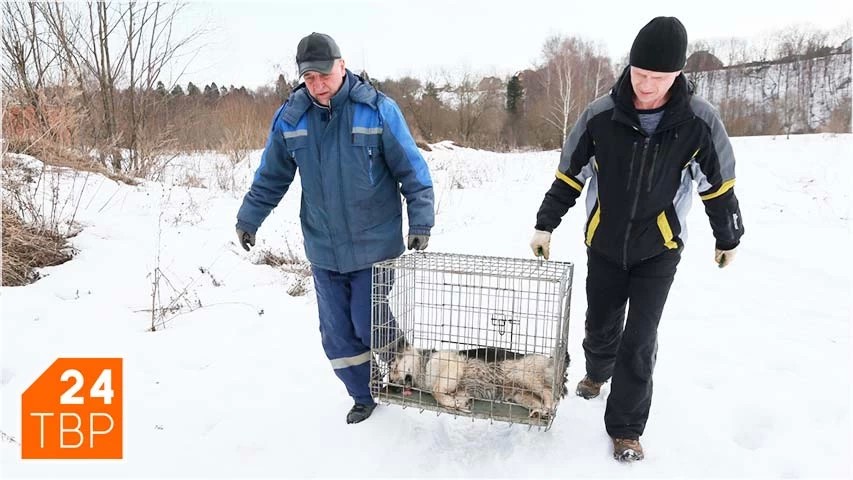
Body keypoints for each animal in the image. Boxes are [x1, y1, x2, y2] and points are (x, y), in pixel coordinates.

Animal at [390, 344, 568, 418]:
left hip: (524, 376)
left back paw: (548, 406)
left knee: (549, 393)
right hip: (519, 394)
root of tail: (550, 360)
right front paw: (458, 405)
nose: (393, 386)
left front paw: (451, 401)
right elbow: (452, 398)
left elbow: (436, 390)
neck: (423, 364)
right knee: (539, 402)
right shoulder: (463, 391)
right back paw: (540, 411)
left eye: (394, 367)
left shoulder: (454, 365)